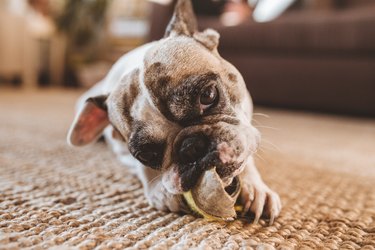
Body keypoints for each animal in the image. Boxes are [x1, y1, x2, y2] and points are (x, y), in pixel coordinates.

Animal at [67, 0, 280, 223]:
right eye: (146, 154)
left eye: (208, 95)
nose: (190, 147)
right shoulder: (120, 147)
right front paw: (159, 189)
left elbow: (247, 149)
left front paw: (255, 187)